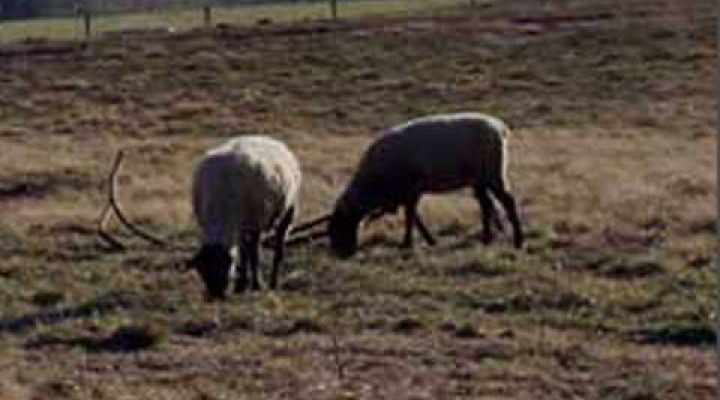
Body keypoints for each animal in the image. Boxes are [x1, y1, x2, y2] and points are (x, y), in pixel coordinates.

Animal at [186, 135, 300, 300]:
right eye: (203, 272)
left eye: (224, 267)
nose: (217, 295)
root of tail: (266, 138)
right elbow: (243, 254)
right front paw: (240, 285)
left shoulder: (254, 223)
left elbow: (253, 254)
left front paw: (256, 285)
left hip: (288, 211)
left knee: (278, 248)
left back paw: (273, 283)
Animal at [328, 111, 524, 260]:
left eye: (339, 226)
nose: (342, 254)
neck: (374, 181)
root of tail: (499, 126)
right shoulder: (409, 191)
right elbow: (413, 214)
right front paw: (427, 241)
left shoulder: (411, 187)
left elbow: (410, 214)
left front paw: (407, 243)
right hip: (479, 178)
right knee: (485, 204)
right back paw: (486, 239)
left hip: (493, 172)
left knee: (508, 201)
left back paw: (518, 241)